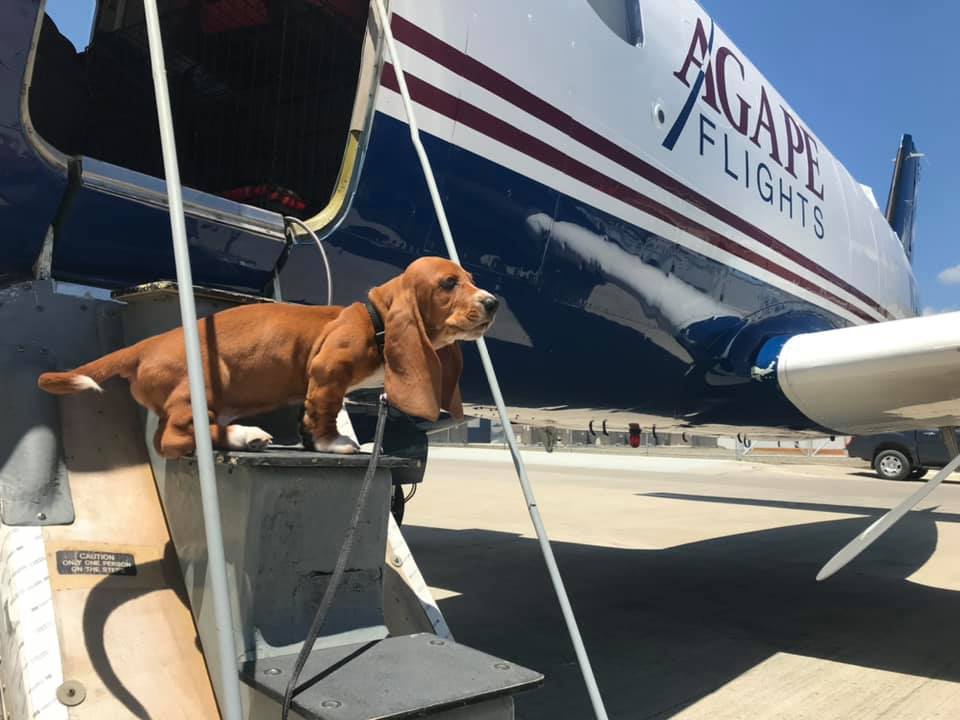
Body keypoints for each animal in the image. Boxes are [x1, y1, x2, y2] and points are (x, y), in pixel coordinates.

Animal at [38, 257, 498, 458]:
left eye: (472, 279)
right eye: (449, 283)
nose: (493, 302)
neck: (377, 320)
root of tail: (144, 347)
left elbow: (310, 412)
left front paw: (313, 440)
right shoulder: (328, 370)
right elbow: (326, 409)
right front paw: (332, 443)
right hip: (206, 382)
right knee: (172, 440)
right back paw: (245, 436)